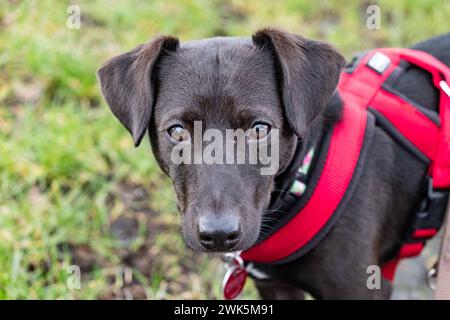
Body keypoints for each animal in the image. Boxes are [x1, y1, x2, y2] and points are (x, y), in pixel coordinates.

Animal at [98, 28, 450, 300]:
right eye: (176, 131)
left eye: (259, 129)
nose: (219, 235)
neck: (306, 176)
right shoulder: (276, 286)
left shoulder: (362, 288)